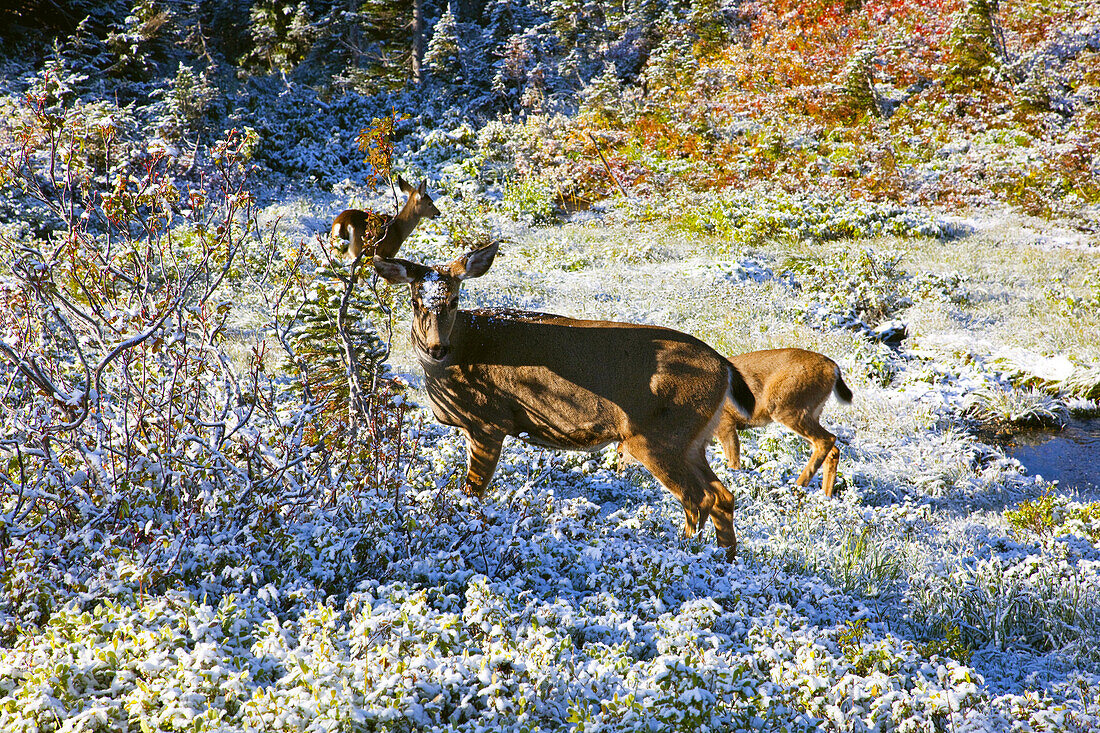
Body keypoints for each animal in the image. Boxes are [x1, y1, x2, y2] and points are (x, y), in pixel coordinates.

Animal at [376, 242, 756, 556]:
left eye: (454, 300)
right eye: (415, 301)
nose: (436, 347)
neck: (462, 351)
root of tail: (724, 366)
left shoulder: (489, 421)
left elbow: (472, 493)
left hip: (657, 437)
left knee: (699, 498)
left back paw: (686, 553)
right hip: (691, 438)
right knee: (723, 495)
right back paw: (725, 560)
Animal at [717, 347, 853, 497]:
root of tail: (834, 368)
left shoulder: (725, 421)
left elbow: (733, 463)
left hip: (787, 407)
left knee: (827, 439)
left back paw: (797, 488)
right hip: (811, 412)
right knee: (832, 450)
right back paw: (824, 497)